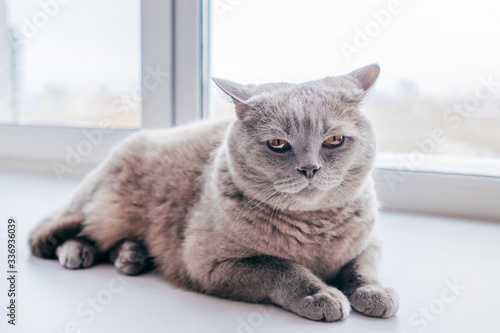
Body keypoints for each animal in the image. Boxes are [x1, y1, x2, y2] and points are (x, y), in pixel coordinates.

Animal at [30, 63, 398, 320]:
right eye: (278, 144)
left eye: (333, 140)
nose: (309, 168)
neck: (314, 228)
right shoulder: (210, 264)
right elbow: (282, 268)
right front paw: (320, 296)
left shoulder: (371, 242)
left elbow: (362, 268)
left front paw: (376, 293)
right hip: (101, 209)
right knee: (55, 230)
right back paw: (78, 252)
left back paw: (129, 256)